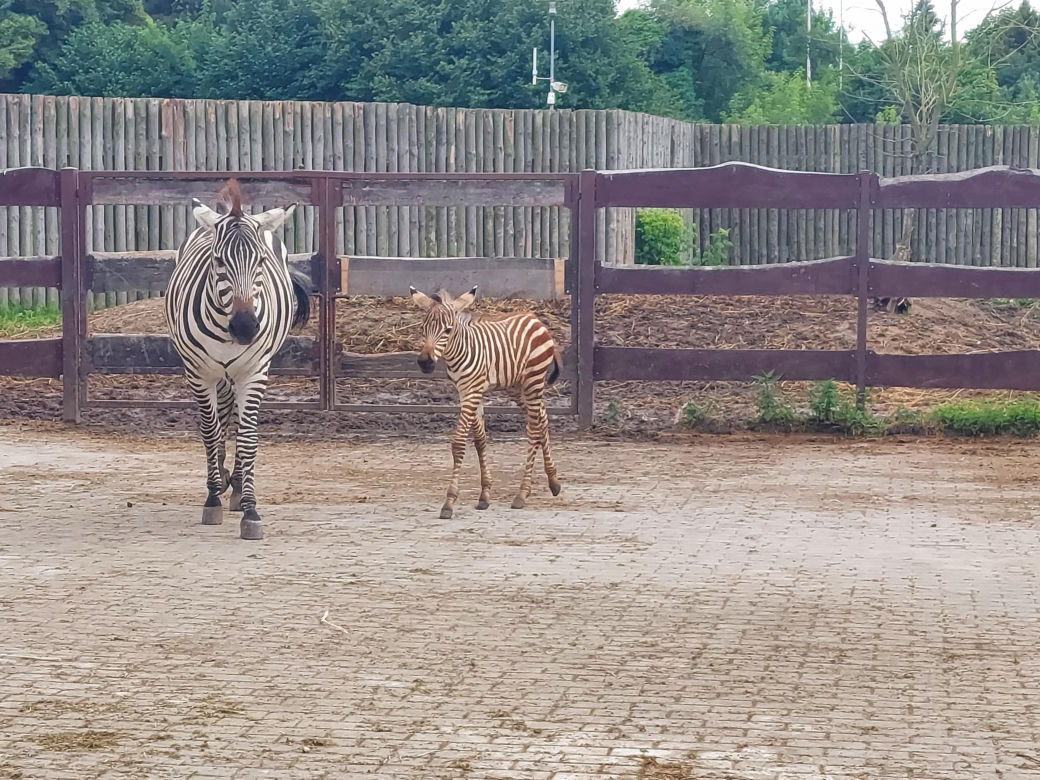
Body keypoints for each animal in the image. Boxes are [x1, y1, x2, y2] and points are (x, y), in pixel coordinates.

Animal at [164, 179, 311, 540]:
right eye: (217, 261)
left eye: (260, 261)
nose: (245, 328)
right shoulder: (198, 372)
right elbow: (209, 431)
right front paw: (213, 498)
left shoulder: (254, 372)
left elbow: (247, 436)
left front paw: (250, 509)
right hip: (218, 374)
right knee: (219, 420)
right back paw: (222, 481)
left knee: (232, 416)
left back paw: (236, 486)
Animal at [409, 285, 563, 519]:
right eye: (423, 328)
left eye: (448, 330)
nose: (425, 363)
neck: (460, 351)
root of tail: (535, 318)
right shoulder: (466, 392)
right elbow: (480, 441)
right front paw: (485, 495)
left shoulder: (472, 392)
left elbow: (458, 443)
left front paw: (449, 502)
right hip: (516, 387)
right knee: (542, 419)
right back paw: (553, 481)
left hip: (533, 381)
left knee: (535, 428)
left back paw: (522, 493)